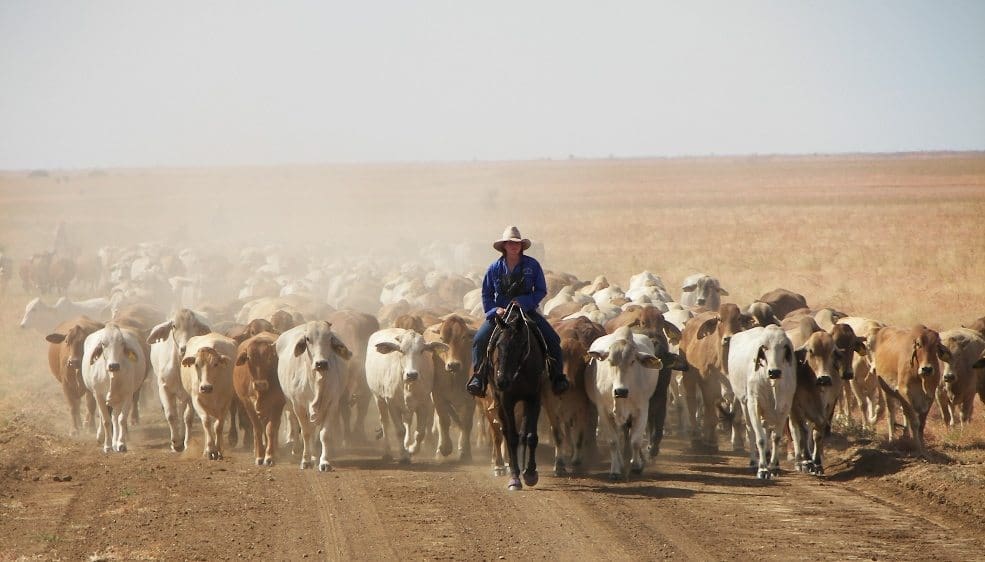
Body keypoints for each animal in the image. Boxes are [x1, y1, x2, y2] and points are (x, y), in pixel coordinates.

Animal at [234, 332, 286, 464]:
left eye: (269, 358)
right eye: (249, 358)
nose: (260, 384)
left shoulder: (278, 403)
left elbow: (271, 428)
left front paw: (270, 456)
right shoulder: (248, 404)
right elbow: (257, 429)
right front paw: (259, 455)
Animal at [872, 324, 948, 456]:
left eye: (936, 345)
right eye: (918, 344)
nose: (927, 369)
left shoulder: (930, 396)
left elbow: (921, 424)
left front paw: (923, 447)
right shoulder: (904, 392)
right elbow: (915, 422)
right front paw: (917, 447)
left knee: (904, 413)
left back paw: (906, 436)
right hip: (886, 390)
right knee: (890, 413)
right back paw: (892, 440)